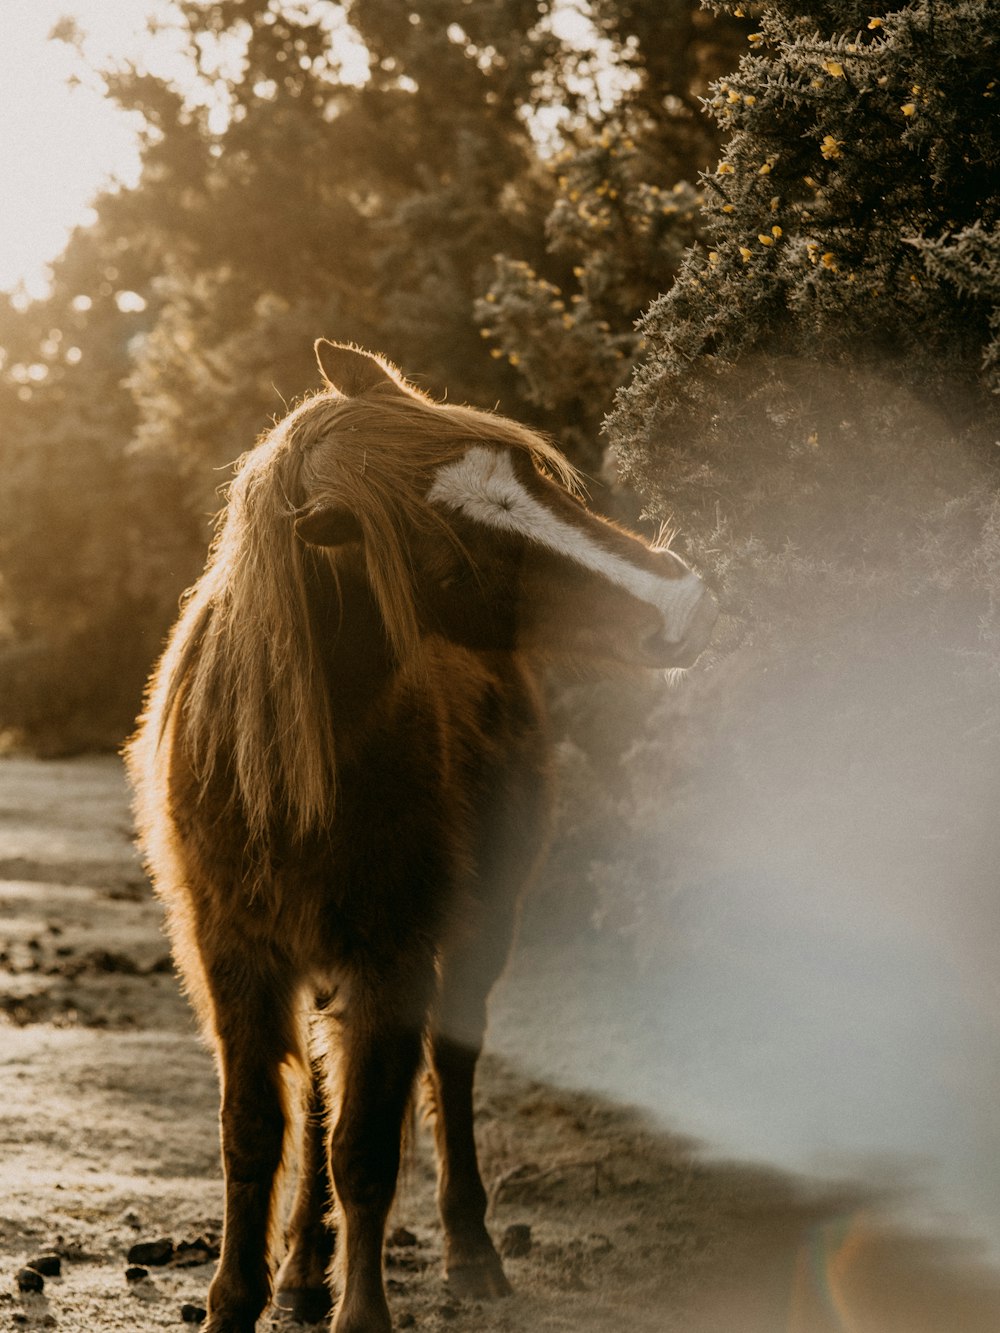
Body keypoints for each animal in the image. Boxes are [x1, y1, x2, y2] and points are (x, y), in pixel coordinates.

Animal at [127, 343, 720, 1333]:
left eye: (530, 473)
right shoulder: (234, 954)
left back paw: (470, 1252)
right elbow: (254, 1133)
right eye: (455, 552)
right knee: (322, 1094)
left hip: (482, 926)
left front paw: (361, 1312)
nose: (684, 602)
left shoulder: (394, 952)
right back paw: (301, 1271)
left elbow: (365, 1148)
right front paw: (235, 1300)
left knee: (451, 1061)